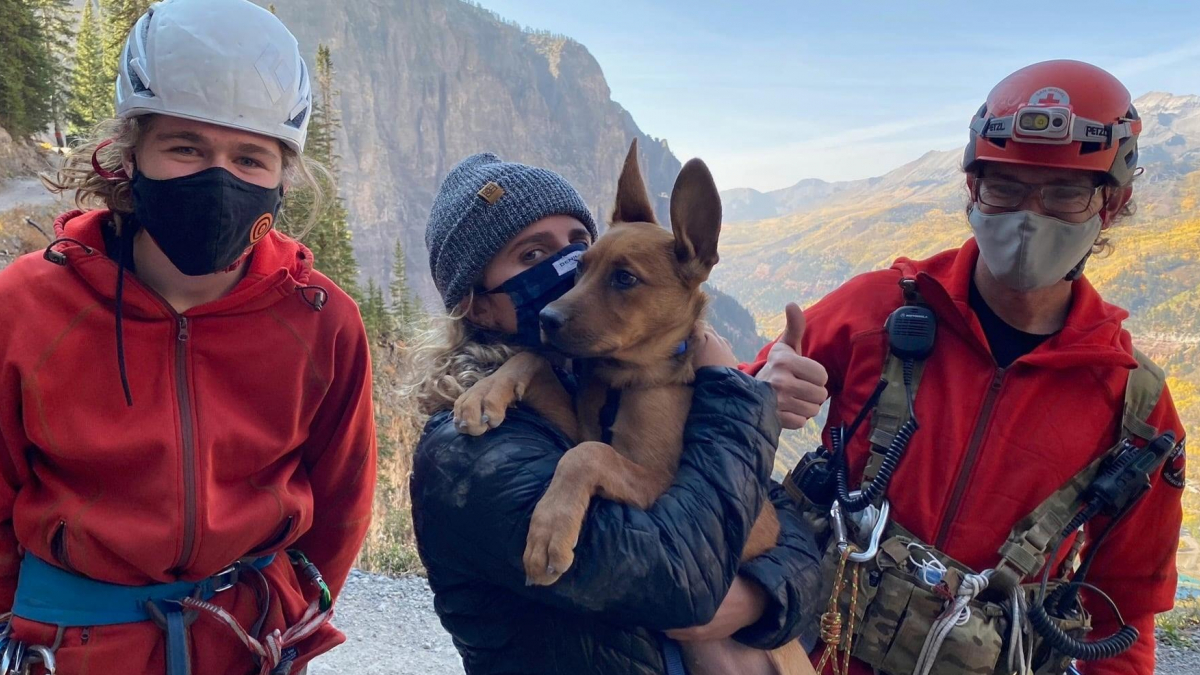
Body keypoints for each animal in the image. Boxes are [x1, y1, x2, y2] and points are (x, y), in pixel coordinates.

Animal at [453, 139, 811, 667]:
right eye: (579, 268)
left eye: (624, 279)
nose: (545, 318)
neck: (630, 381)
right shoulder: (578, 423)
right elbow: (533, 360)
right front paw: (484, 392)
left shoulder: (660, 480)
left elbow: (589, 454)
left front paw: (549, 530)